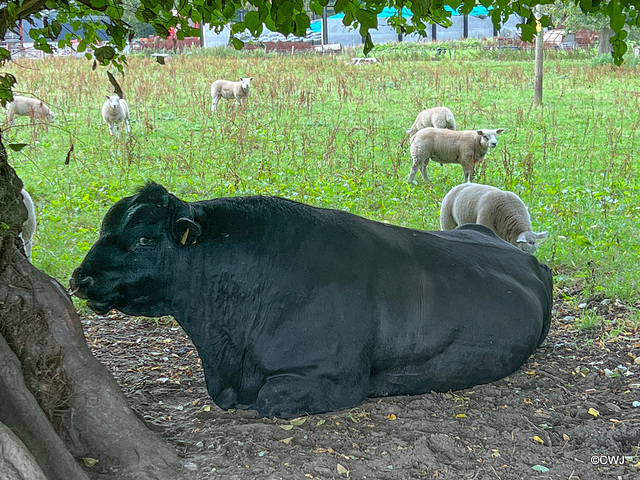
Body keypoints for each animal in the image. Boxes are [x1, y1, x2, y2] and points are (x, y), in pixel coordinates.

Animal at [69, 184, 552, 416]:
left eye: (145, 239)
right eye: (104, 228)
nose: (79, 278)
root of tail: (526, 256)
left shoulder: (335, 377)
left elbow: (269, 400)